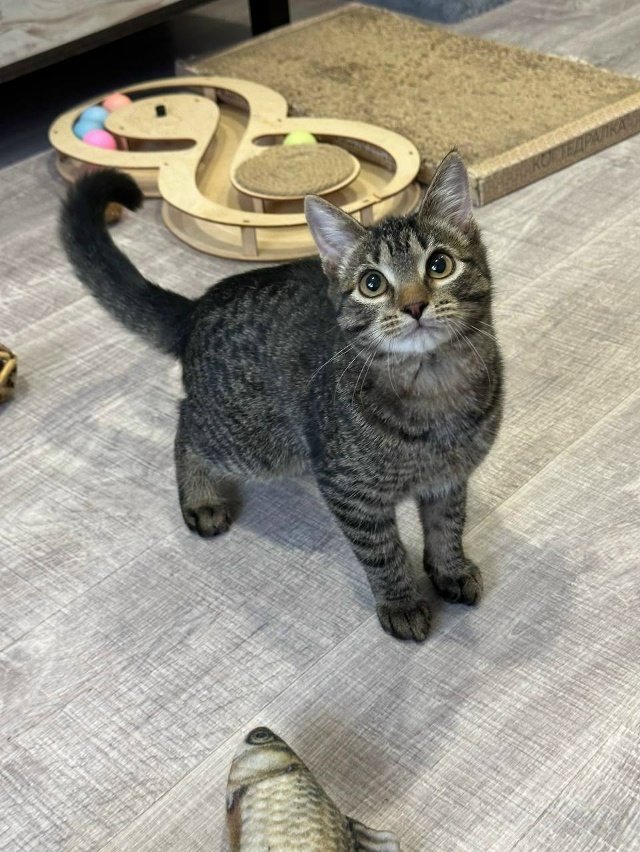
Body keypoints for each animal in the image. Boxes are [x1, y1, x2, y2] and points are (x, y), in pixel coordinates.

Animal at [60, 151, 502, 642]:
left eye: (439, 265)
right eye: (372, 284)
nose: (414, 305)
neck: (433, 387)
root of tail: (196, 307)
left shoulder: (450, 479)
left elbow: (448, 527)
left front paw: (449, 569)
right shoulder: (350, 492)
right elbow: (382, 552)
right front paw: (401, 601)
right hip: (254, 444)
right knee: (185, 427)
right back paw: (200, 498)